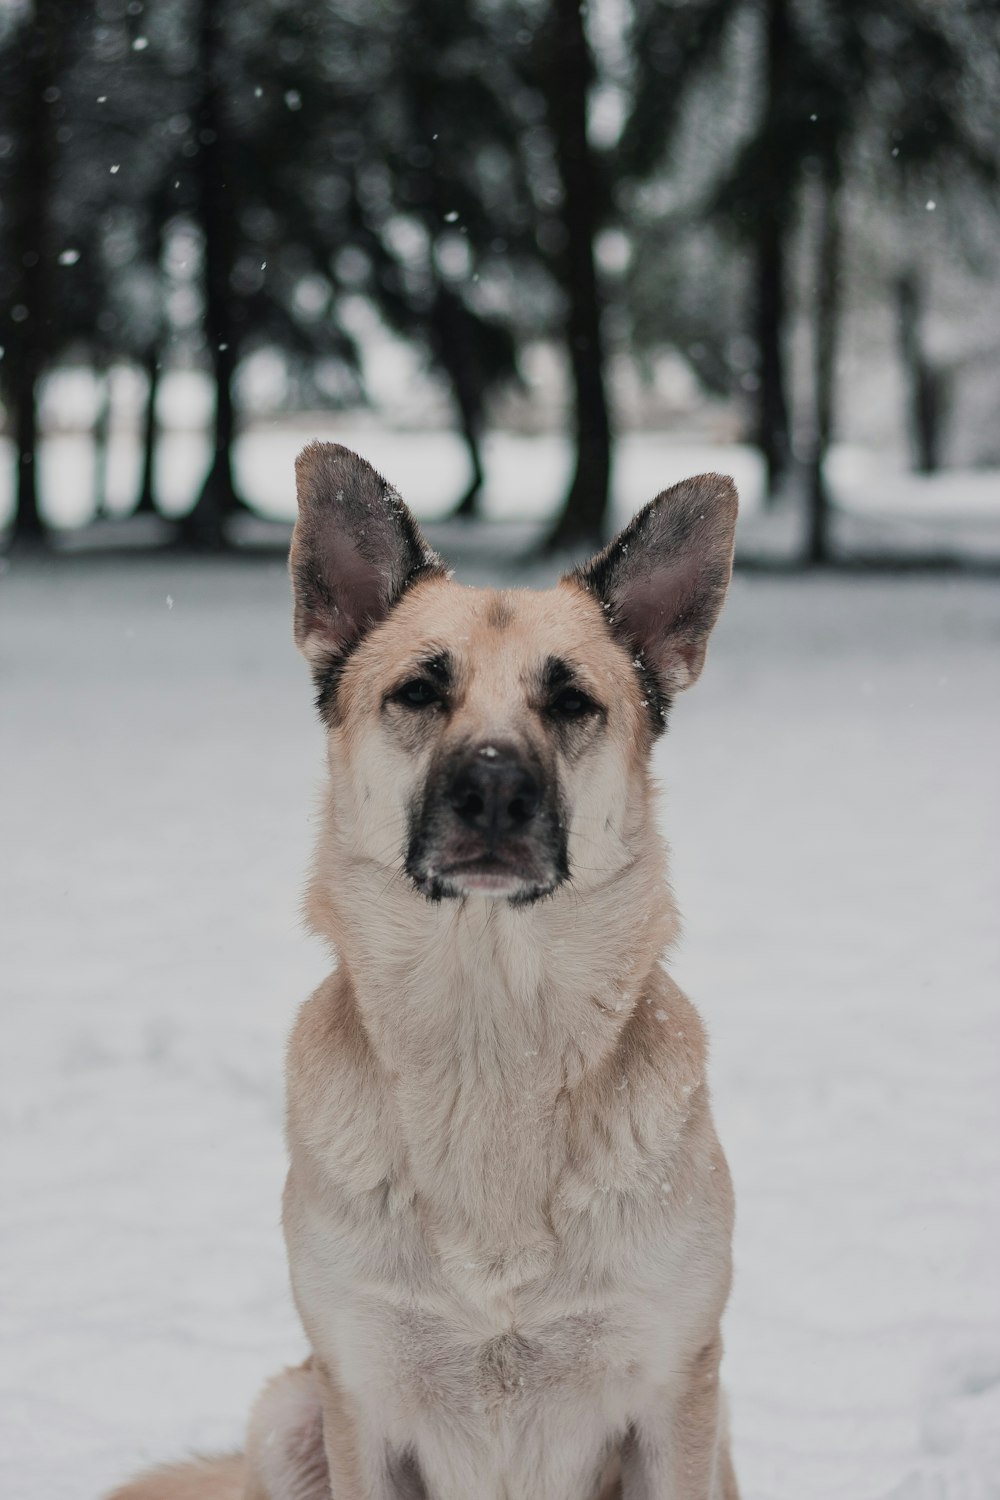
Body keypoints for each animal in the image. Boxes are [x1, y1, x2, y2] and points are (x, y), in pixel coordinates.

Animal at [107, 444, 743, 1500]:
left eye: (570, 701)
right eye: (418, 691)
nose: (493, 787)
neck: (488, 1041)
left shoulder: (674, 1399)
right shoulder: (359, 1400)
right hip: (287, 1414)